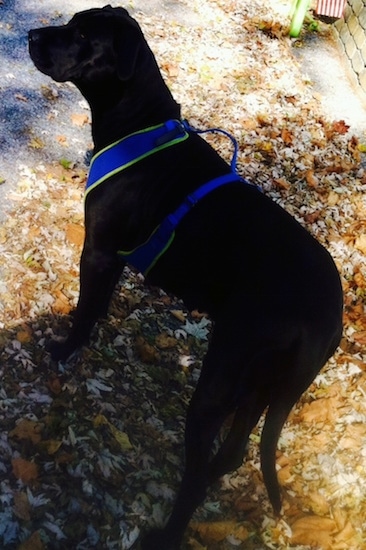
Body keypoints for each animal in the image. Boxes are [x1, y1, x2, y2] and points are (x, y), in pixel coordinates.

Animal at [28, 6, 344, 548]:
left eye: (84, 33)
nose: (29, 35)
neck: (139, 122)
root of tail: (330, 317)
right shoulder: (114, 258)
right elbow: (97, 307)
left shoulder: (99, 251)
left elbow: (84, 310)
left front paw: (65, 349)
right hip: (262, 386)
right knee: (235, 452)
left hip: (222, 378)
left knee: (196, 477)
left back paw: (169, 531)